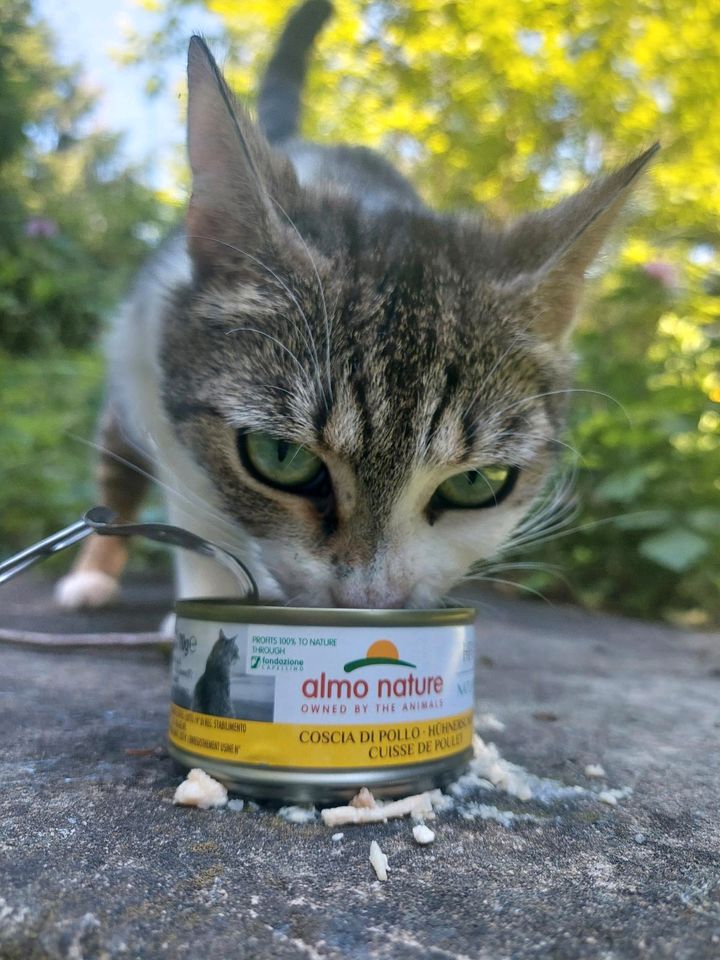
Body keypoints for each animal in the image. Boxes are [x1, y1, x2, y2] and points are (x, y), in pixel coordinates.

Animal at [53, 0, 656, 612]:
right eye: (280, 456)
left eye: (476, 483)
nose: (372, 601)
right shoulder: (155, 372)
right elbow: (199, 517)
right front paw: (213, 592)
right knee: (116, 481)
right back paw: (92, 575)